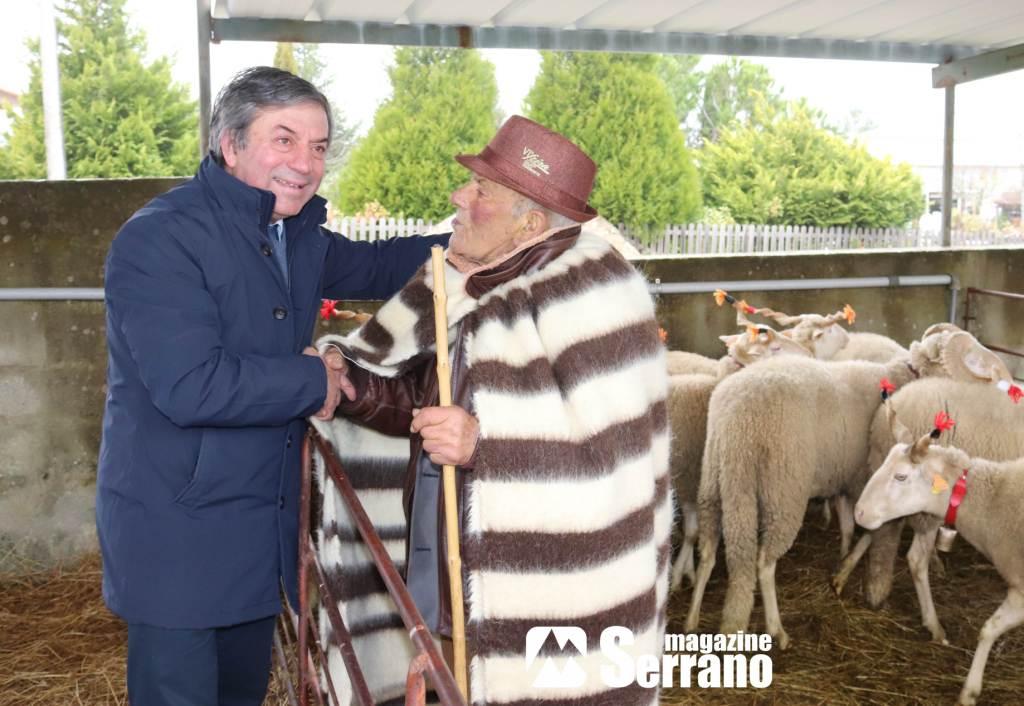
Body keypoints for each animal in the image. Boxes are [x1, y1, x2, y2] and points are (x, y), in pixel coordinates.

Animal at [684, 330, 1002, 648]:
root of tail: (736, 414)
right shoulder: (868, 481)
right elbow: (870, 532)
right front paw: (848, 568)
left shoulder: (848, 481)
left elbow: (849, 527)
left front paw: (841, 563)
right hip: (782, 490)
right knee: (764, 562)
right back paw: (777, 629)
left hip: (716, 479)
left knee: (708, 552)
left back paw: (692, 619)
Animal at [855, 416, 1024, 706]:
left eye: (901, 476)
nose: (859, 513)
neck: (994, 504)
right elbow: (989, 629)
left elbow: (988, 629)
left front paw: (969, 691)